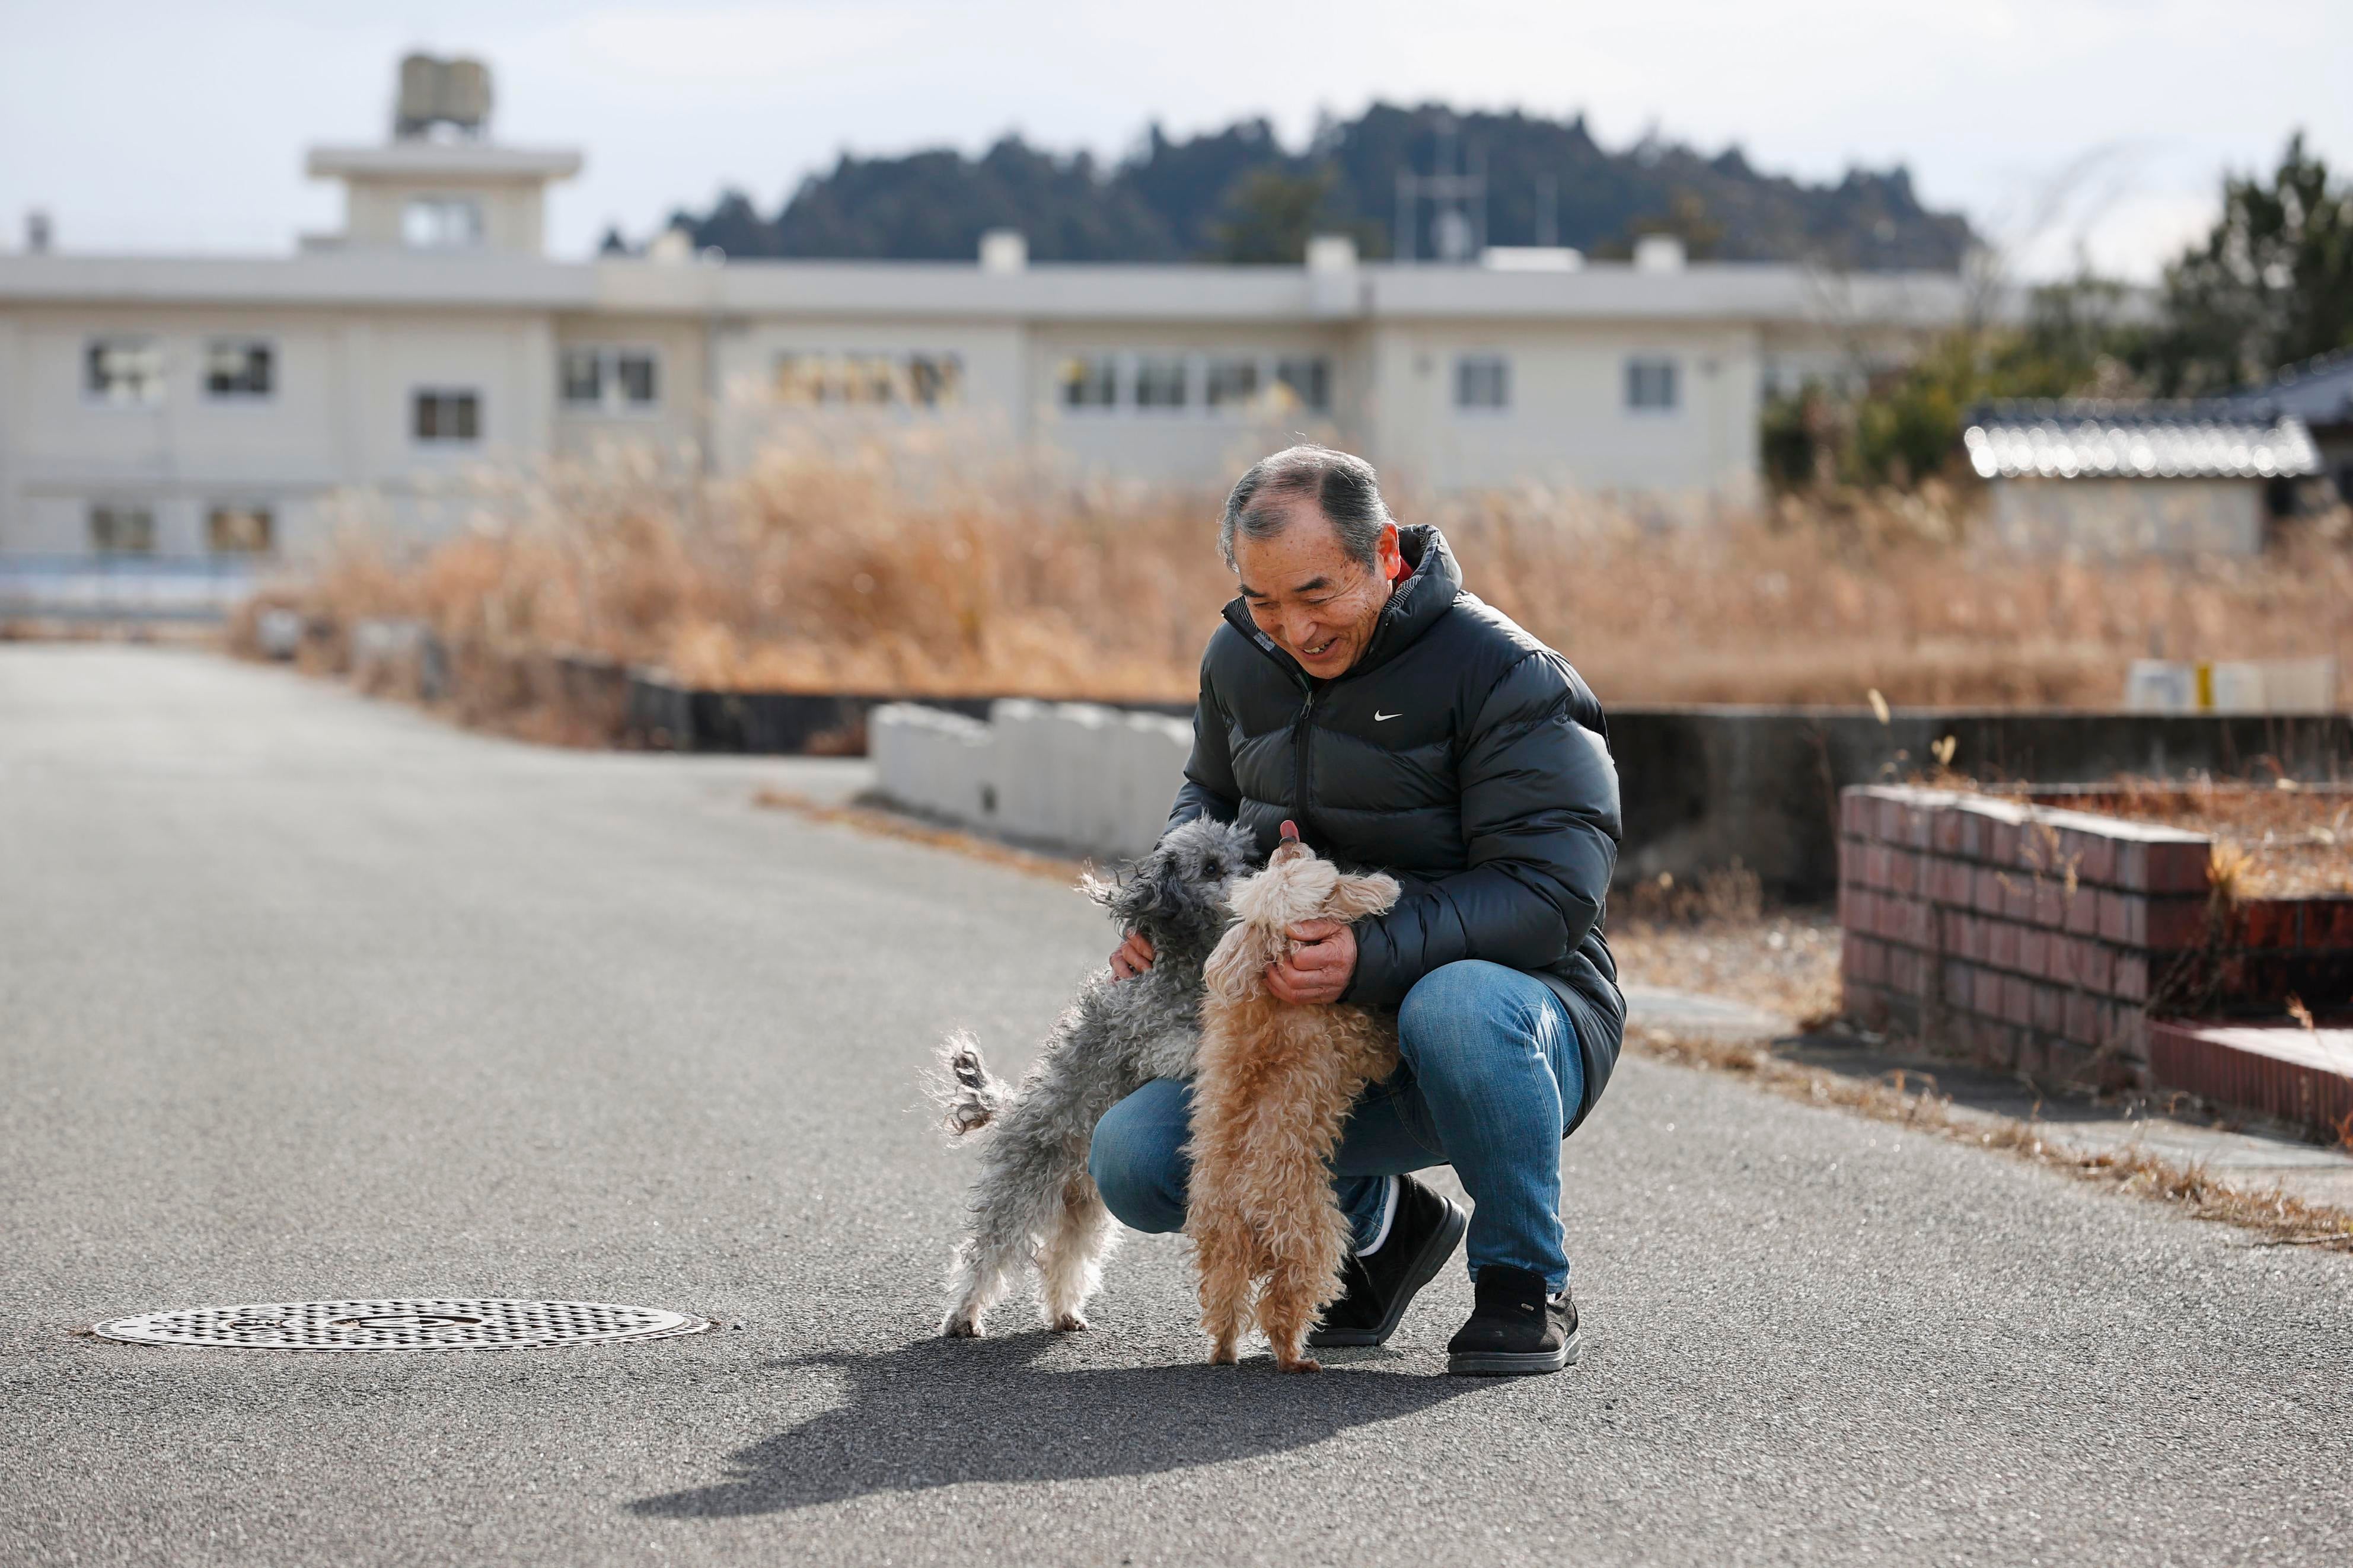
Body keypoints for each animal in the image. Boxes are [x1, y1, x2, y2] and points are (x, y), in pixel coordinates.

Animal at [927, 818, 1261, 1345]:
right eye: (1211, 867)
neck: (1186, 959)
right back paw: (963, 1316)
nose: (1260, 871)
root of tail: (1012, 1108)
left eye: (1247, 854)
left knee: (1067, 1259)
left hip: (1083, 1209)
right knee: (985, 1255)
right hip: (1018, 1191)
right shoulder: (1153, 1039)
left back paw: (1065, 1313)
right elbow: (1190, 1045)